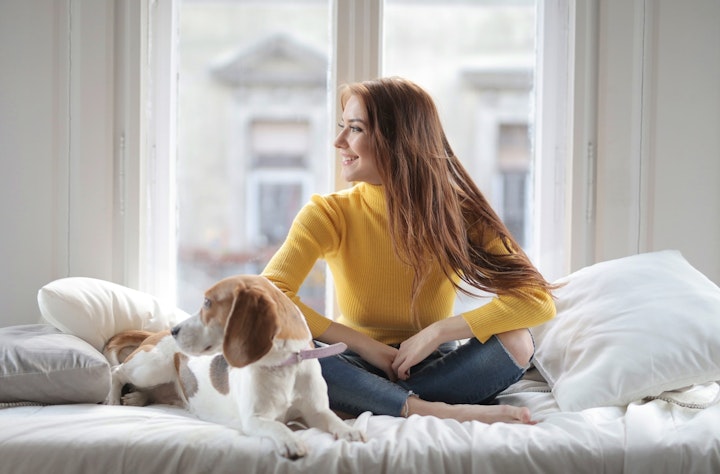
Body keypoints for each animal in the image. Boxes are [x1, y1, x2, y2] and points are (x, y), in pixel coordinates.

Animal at [102, 276, 366, 458]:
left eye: (207, 302)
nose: (175, 330)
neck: (285, 366)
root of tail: (156, 333)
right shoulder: (255, 419)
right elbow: (279, 427)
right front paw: (291, 440)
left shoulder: (316, 411)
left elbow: (332, 419)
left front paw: (348, 430)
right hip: (151, 368)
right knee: (117, 372)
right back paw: (113, 398)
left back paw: (136, 398)